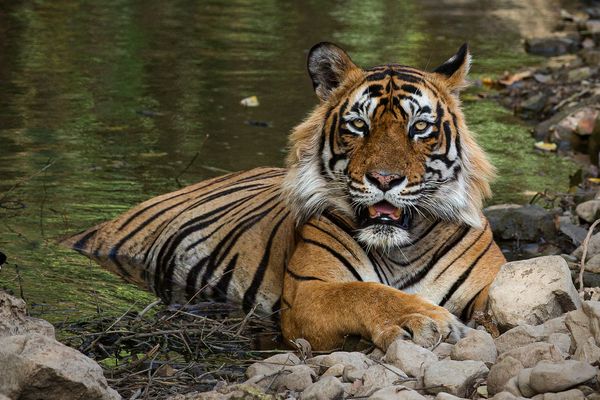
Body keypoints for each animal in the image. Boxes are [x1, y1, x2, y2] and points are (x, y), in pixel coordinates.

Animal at [61, 42, 504, 352]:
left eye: (419, 127)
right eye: (359, 125)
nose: (384, 179)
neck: (400, 249)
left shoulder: (488, 281)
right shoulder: (309, 292)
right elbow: (365, 293)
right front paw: (425, 318)